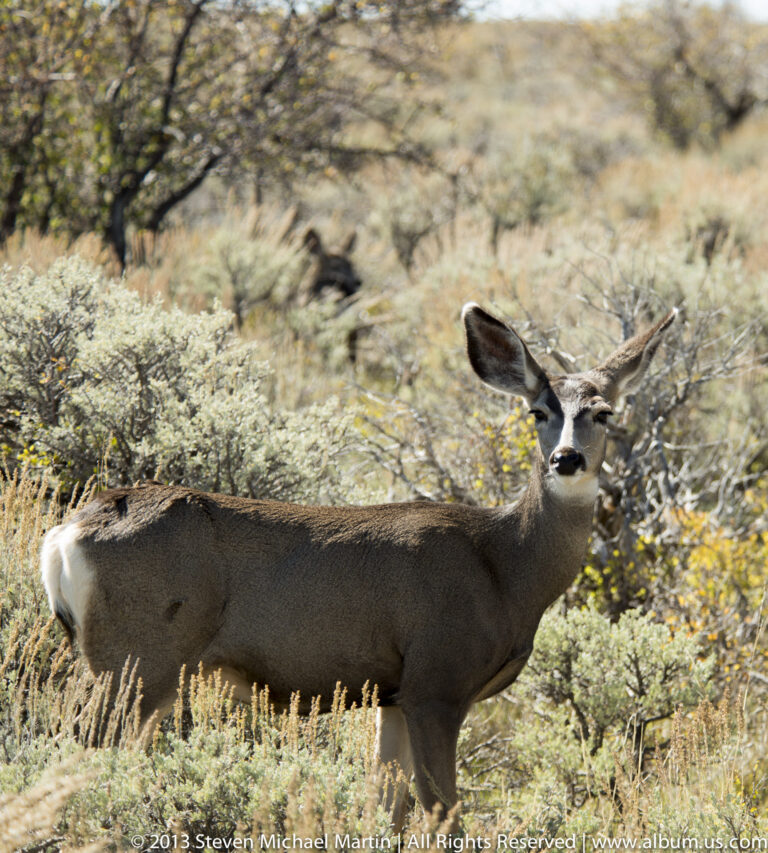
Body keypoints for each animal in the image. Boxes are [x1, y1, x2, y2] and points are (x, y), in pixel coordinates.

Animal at [41, 302, 675, 830]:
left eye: (603, 412)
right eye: (538, 412)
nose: (566, 459)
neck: (505, 568)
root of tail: (64, 536)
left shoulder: (391, 695)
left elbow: (386, 808)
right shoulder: (436, 679)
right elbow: (443, 812)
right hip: (136, 657)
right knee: (76, 751)